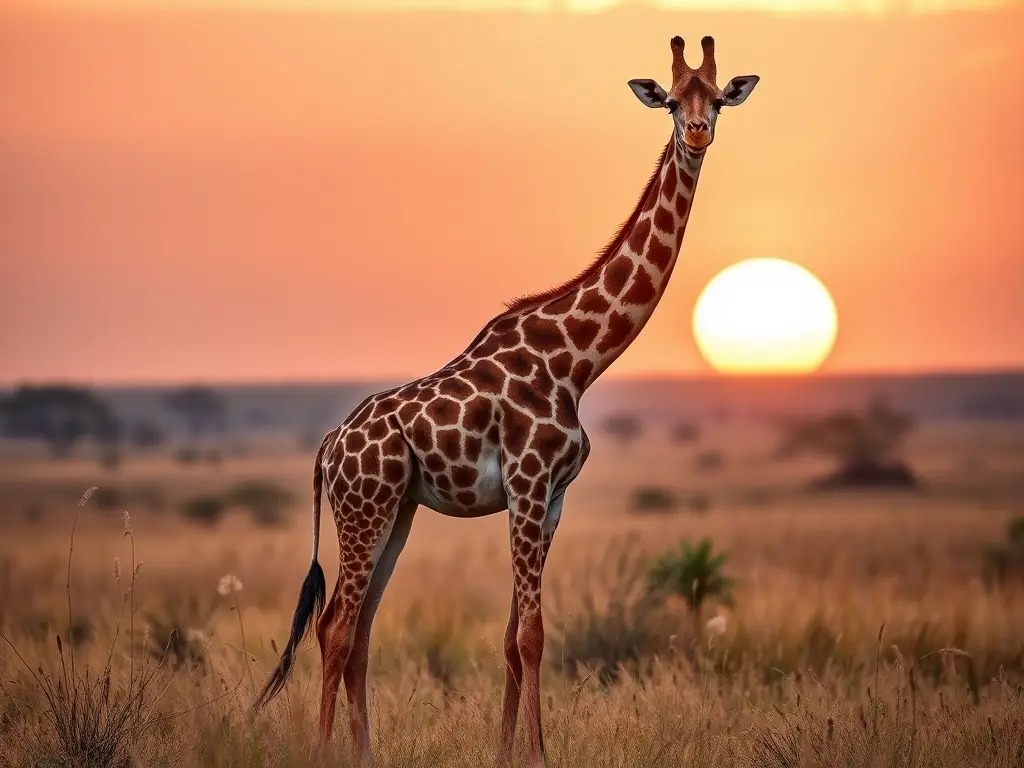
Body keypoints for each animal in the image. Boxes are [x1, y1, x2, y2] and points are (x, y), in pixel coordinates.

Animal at [253, 34, 759, 768]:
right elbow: (531, 636)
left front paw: (506, 753)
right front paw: (540, 756)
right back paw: (327, 754)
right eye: (669, 101)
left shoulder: (551, 497)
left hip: (396, 511)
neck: (578, 361)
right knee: (338, 625)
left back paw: (366, 753)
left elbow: (513, 640)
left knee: (358, 628)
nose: (696, 133)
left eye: (717, 98)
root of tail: (328, 447)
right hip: (366, 506)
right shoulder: (526, 482)